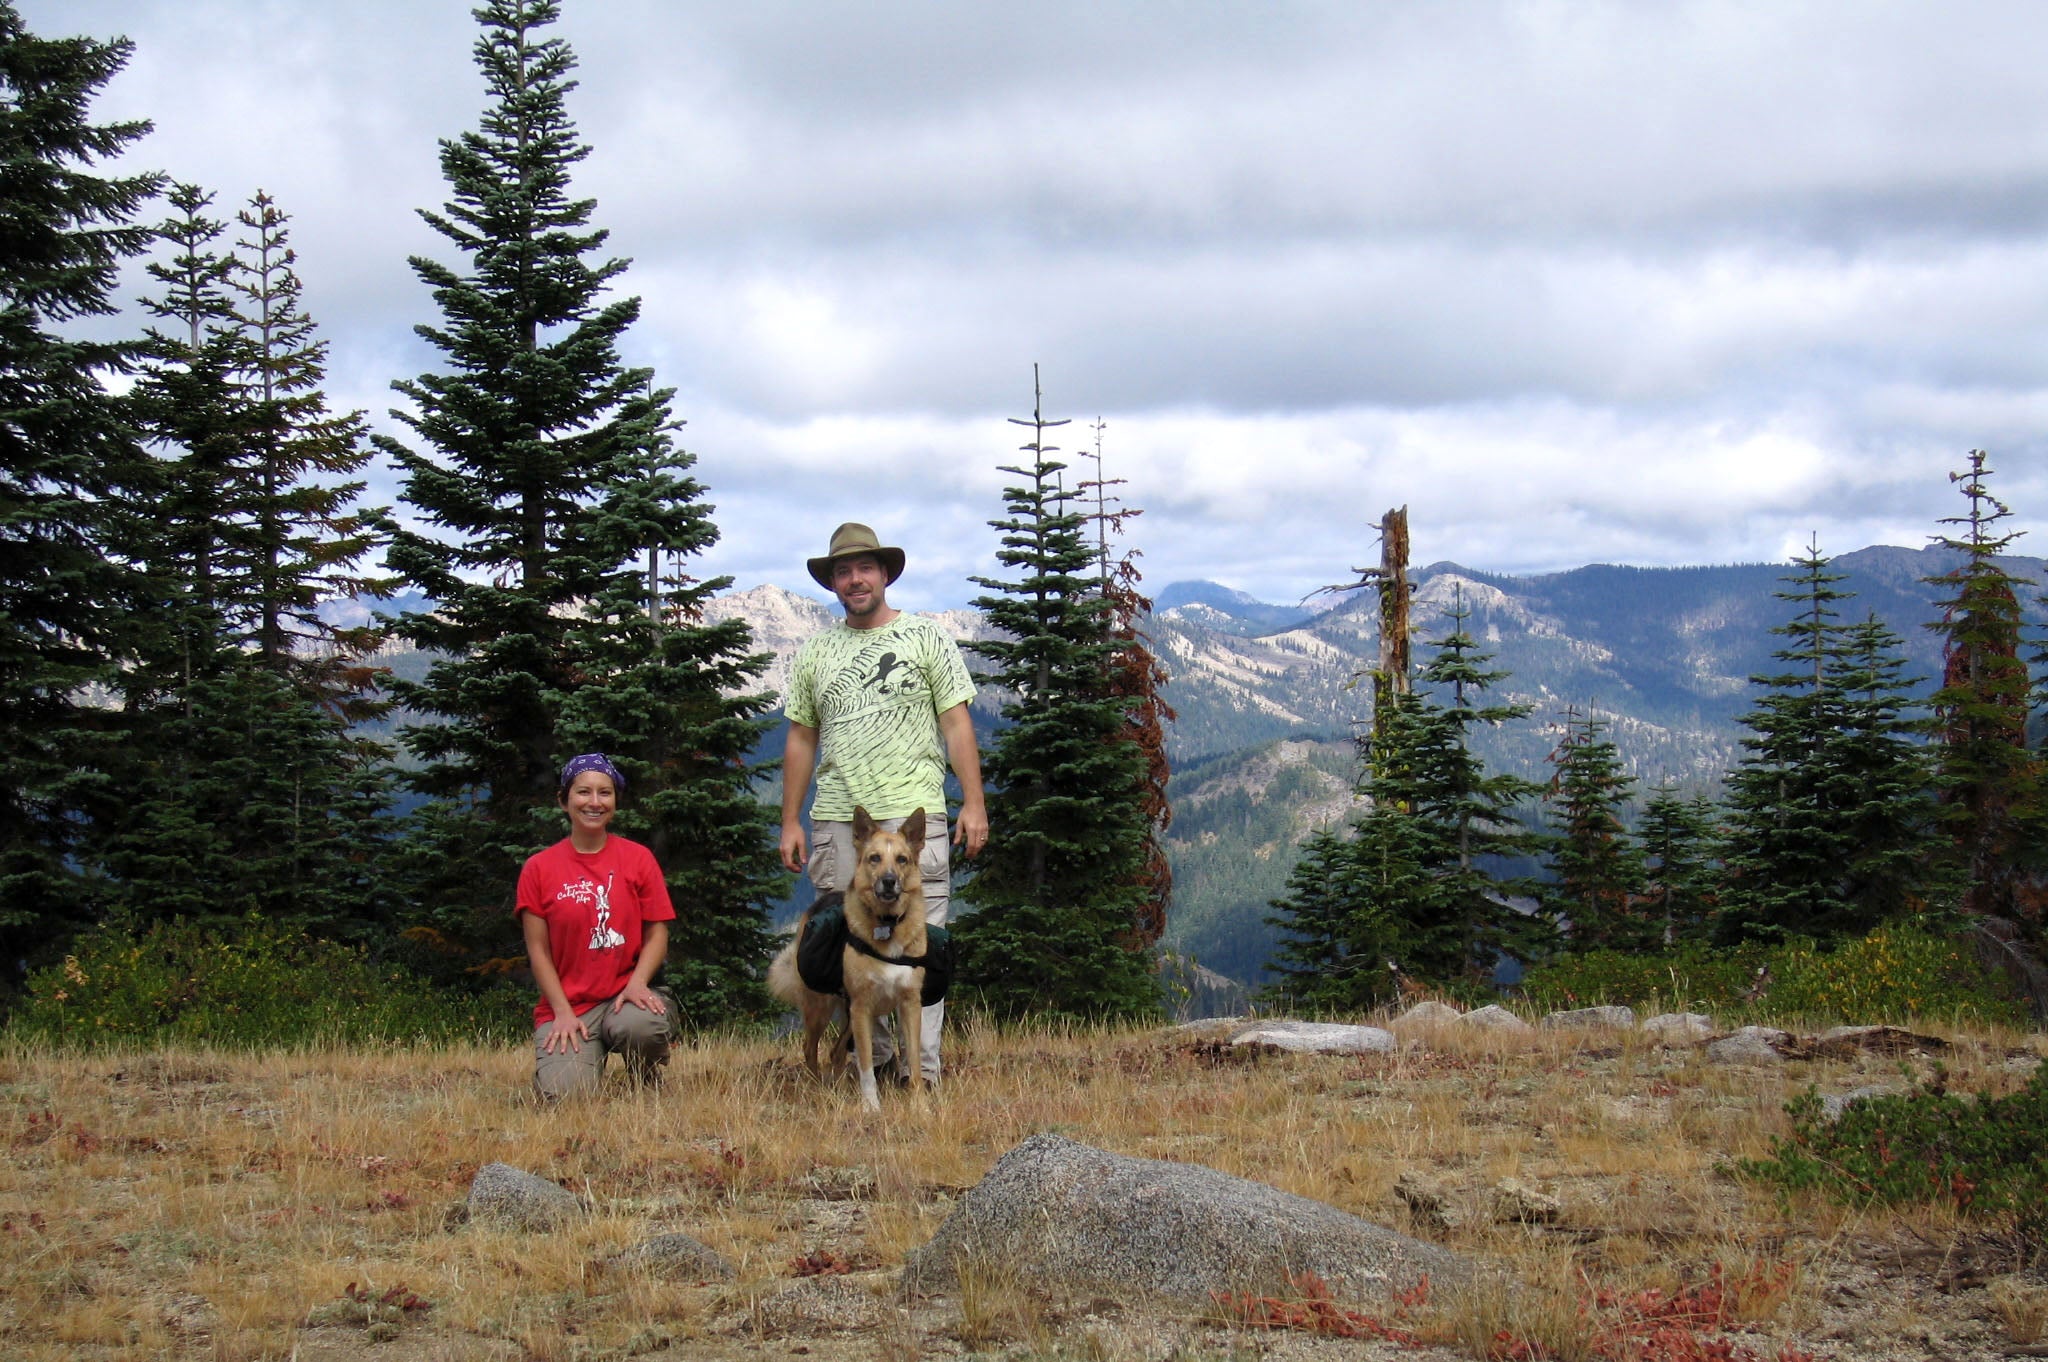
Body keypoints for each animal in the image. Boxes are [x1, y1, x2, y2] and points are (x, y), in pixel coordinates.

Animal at [770, 806, 929, 1105]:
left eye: (902, 859)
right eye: (874, 858)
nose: (888, 881)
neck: (887, 923)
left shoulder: (910, 1004)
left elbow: (914, 1063)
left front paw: (921, 1107)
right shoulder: (862, 1007)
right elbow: (866, 1066)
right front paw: (871, 1108)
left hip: (848, 1013)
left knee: (835, 1052)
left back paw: (838, 1089)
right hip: (821, 1007)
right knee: (810, 1048)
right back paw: (817, 1090)